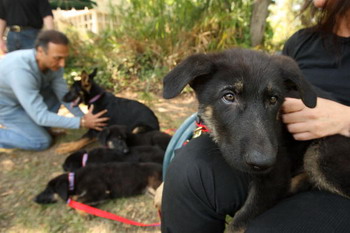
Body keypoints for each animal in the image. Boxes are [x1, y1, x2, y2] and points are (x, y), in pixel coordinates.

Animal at [34, 162, 163, 206]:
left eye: (48, 190)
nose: (34, 199)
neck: (74, 180)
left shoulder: (98, 190)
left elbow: (79, 200)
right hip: (148, 190)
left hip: (154, 185)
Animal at [163, 48, 350, 232]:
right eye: (229, 96)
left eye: (273, 99)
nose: (263, 163)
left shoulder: (276, 176)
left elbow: (238, 224)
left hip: (320, 155)